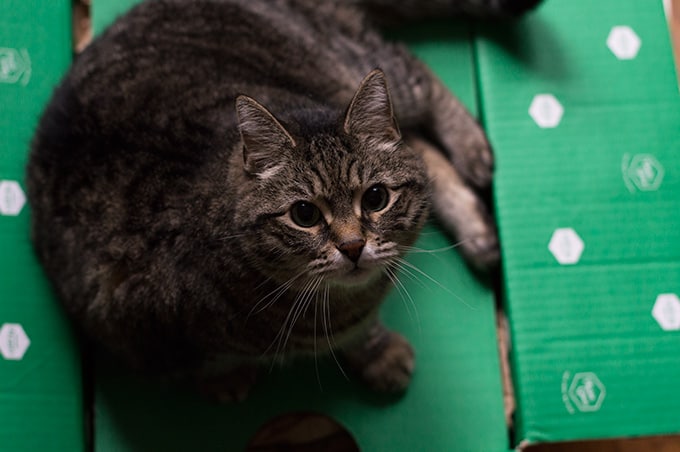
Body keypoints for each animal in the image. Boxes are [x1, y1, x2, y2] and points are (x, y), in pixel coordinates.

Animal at [25, 0, 540, 398]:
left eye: (375, 198)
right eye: (304, 214)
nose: (353, 246)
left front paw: (375, 349)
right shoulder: (139, 332)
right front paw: (224, 380)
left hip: (354, 62)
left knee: (418, 79)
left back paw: (474, 152)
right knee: (421, 143)